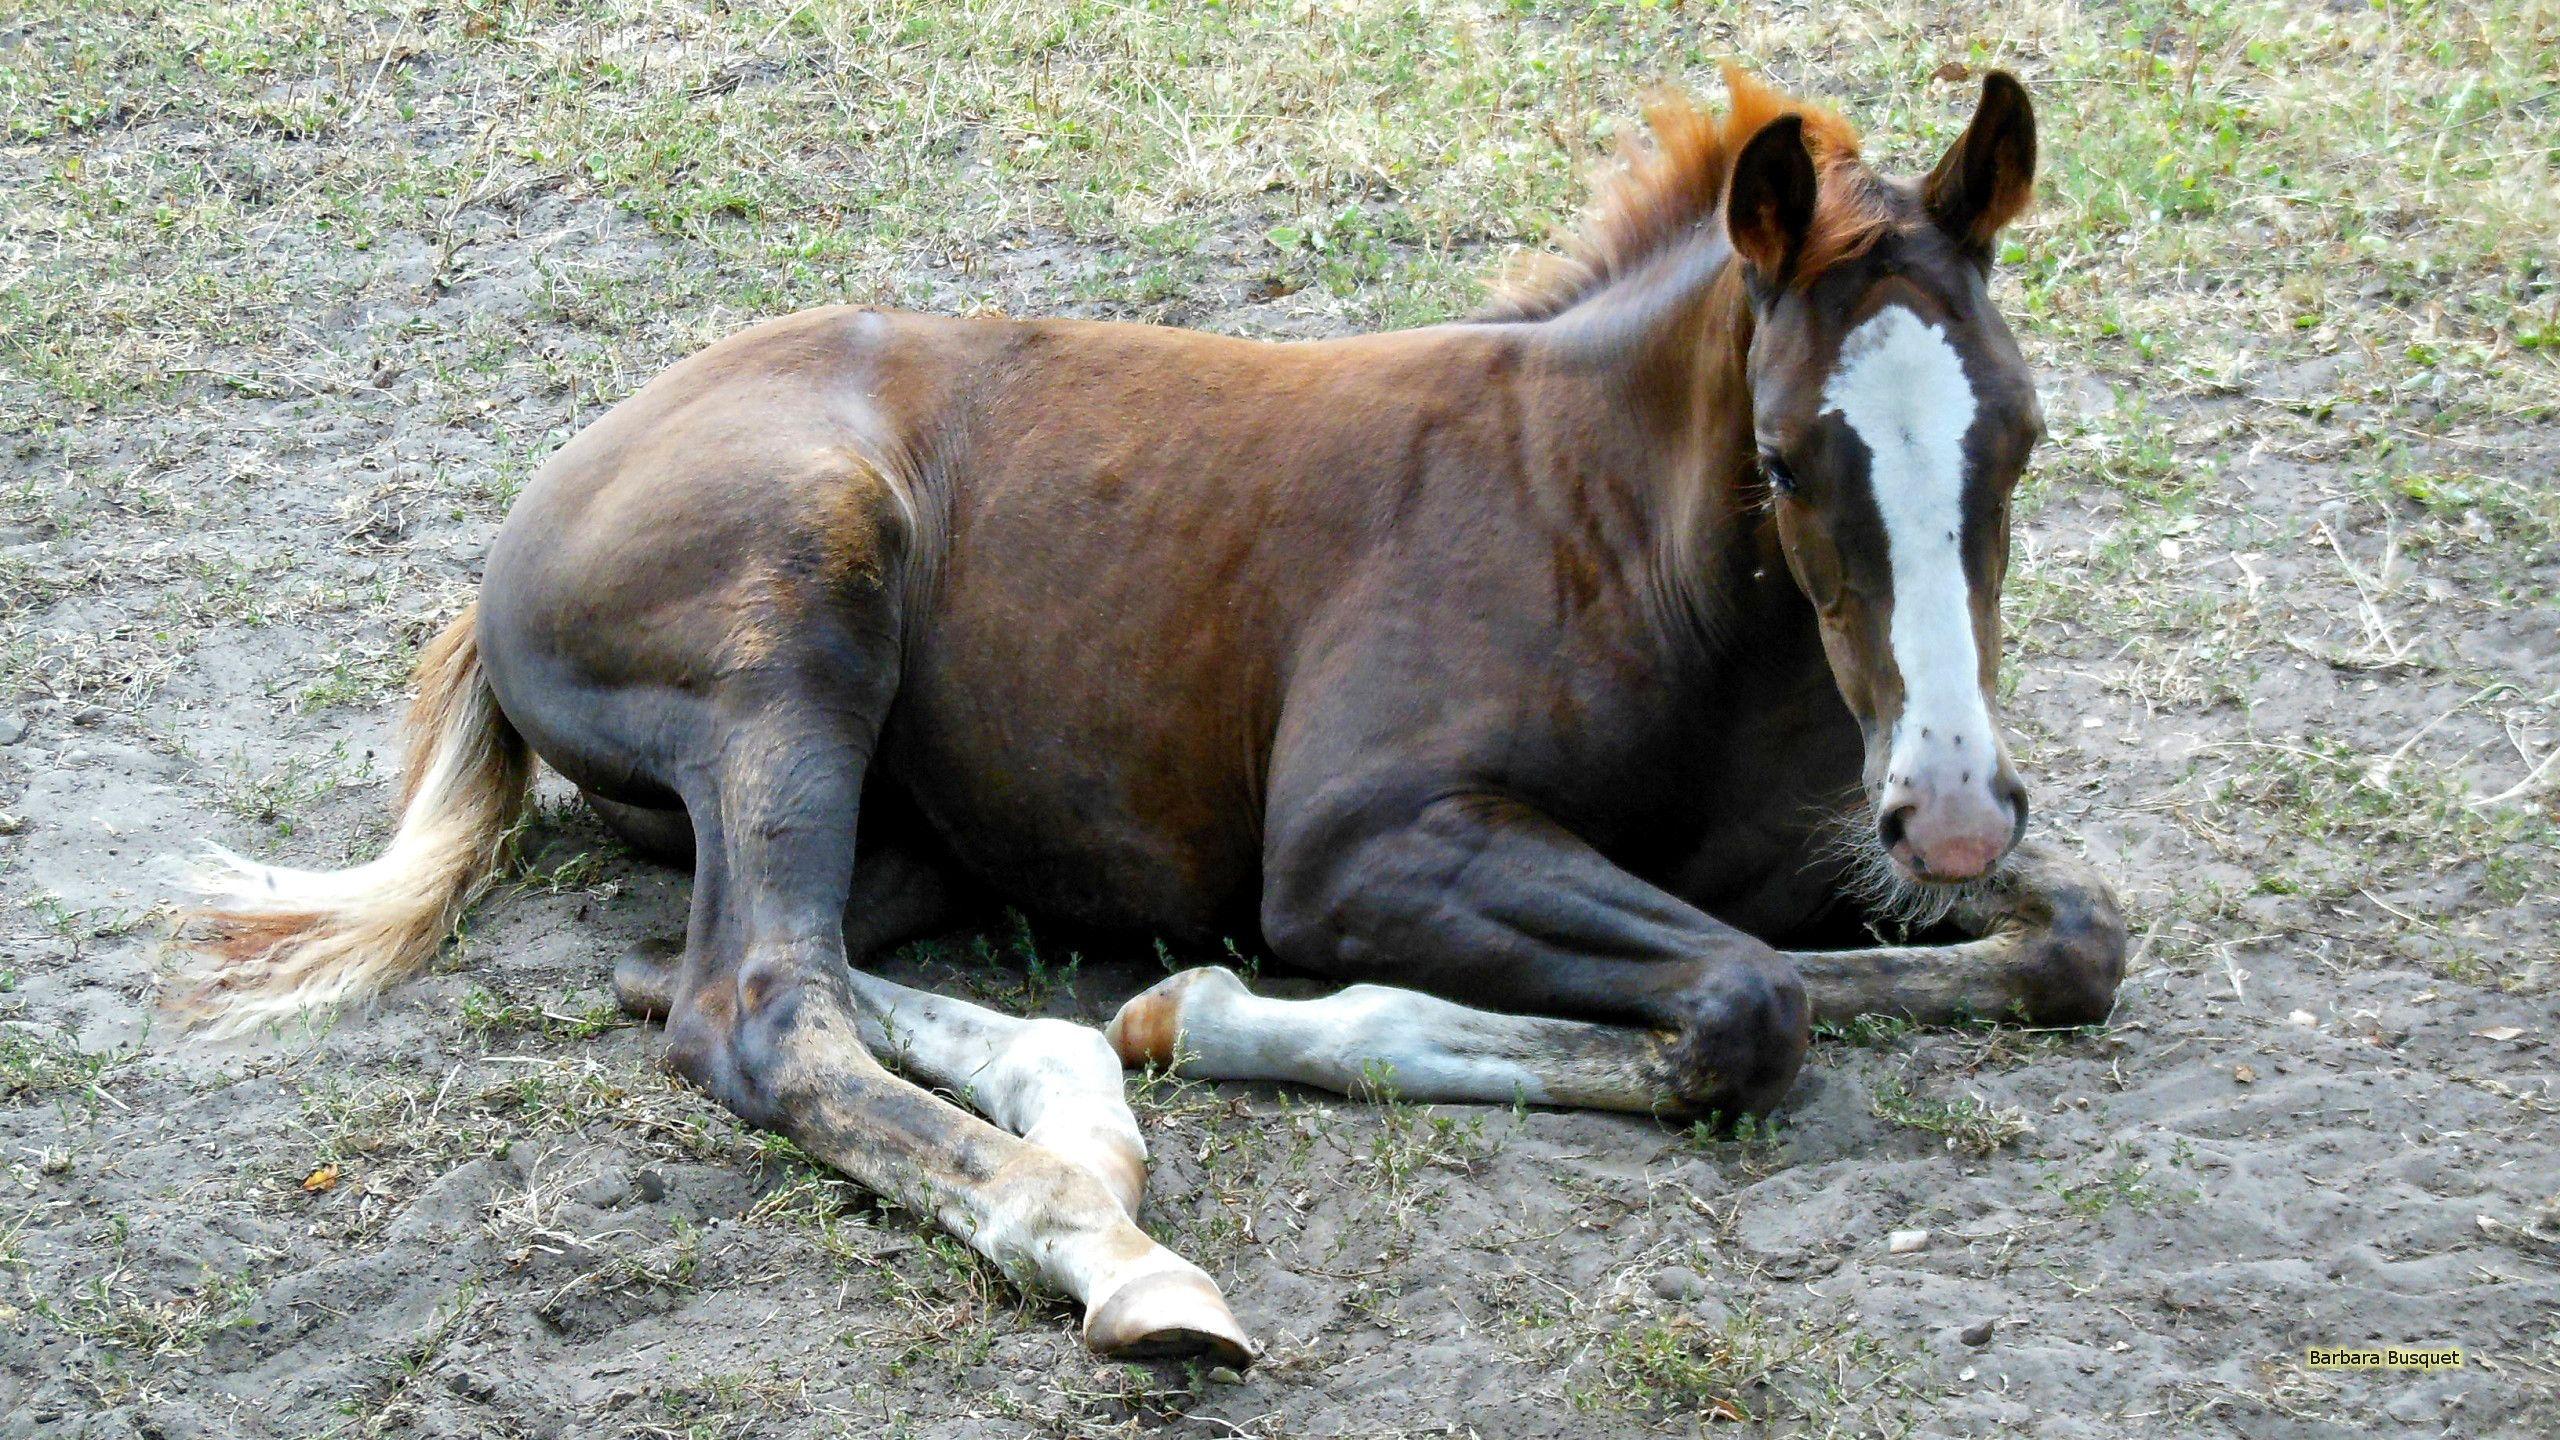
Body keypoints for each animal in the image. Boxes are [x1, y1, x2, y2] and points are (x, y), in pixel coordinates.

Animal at [172, 68, 2127, 1366]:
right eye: (1789, 459)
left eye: (2023, 436)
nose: (1955, 806)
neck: (1615, 533)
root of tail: (519, 530)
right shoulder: (1358, 849)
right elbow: (1745, 996)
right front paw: (1257, 1017)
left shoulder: (1830, 846)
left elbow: (2063, 941)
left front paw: (1192, 1019)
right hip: (799, 623)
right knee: (757, 1004)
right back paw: (1104, 1243)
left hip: (890, 821)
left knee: (720, 966)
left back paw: (1093, 1108)